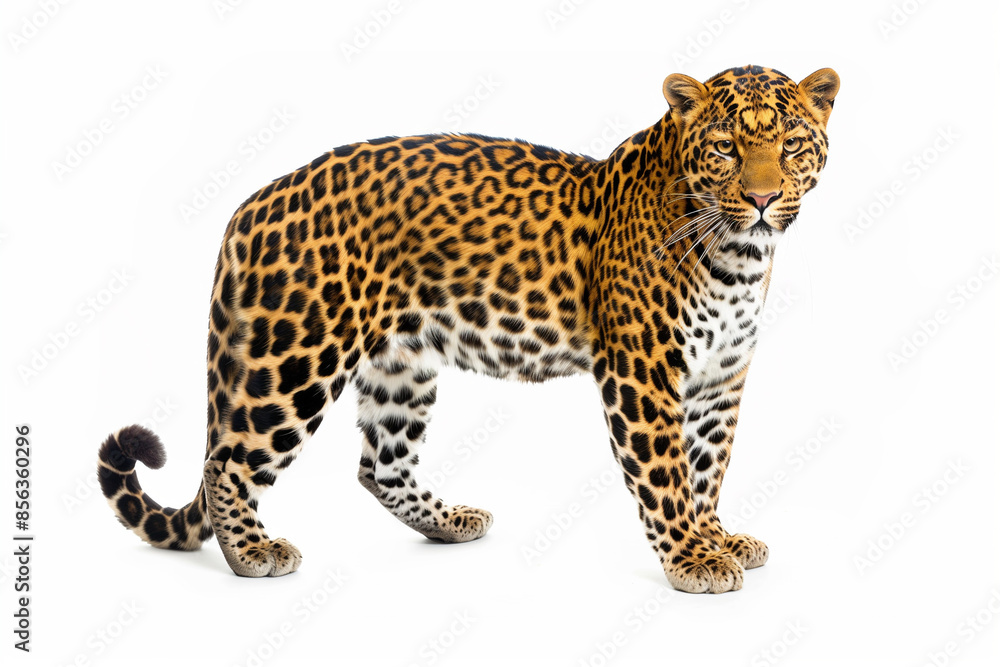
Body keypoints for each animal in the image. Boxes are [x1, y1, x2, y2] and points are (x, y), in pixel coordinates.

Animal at [97, 64, 839, 594]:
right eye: (725, 148)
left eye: (790, 145)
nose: (764, 198)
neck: (740, 256)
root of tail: (253, 200)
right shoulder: (643, 373)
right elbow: (665, 471)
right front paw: (692, 557)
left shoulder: (721, 377)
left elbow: (707, 466)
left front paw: (717, 538)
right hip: (297, 356)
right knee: (228, 459)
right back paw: (252, 551)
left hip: (402, 363)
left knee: (379, 464)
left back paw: (451, 524)